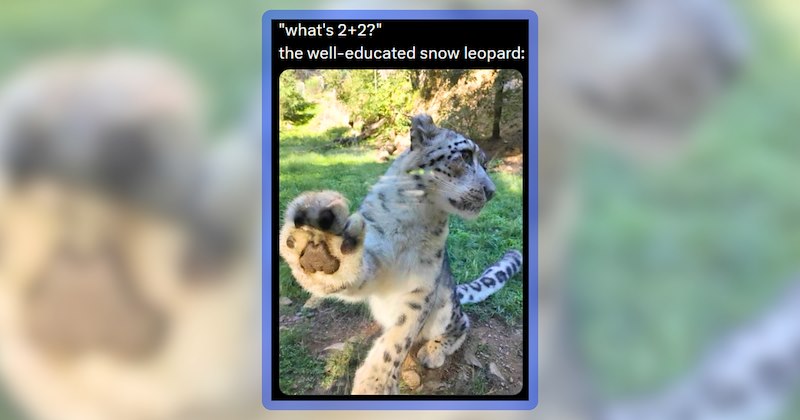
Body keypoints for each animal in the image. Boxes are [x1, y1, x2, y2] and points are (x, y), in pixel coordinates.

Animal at [278, 113, 523, 395]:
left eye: (484, 163)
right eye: (464, 155)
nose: (491, 191)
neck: (415, 211)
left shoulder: (422, 284)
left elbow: (401, 334)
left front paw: (376, 383)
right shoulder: (376, 257)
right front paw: (318, 248)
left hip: (446, 307)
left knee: (462, 324)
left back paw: (433, 351)